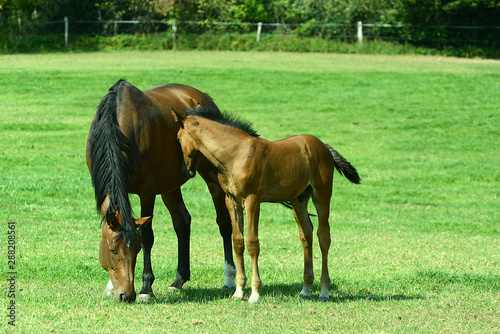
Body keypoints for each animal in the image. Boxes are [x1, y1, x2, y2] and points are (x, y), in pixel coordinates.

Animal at [86, 80, 236, 302]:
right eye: (112, 250)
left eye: (137, 249)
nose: (126, 295)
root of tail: (202, 98)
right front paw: (110, 285)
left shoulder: (147, 192)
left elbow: (148, 235)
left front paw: (146, 288)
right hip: (170, 184)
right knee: (182, 222)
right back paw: (179, 280)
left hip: (211, 175)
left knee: (224, 223)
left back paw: (229, 278)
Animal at [172, 107, 360, 302]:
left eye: (177, 138)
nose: (185, 170)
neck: (235, 155)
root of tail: (324, 146)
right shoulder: (231, 200)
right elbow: (238, 241)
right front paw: (238, 291)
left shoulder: (253, 200)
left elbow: (252, 242)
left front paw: (254, 293)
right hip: (299, 199)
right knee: (306, 233)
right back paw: (306, 289)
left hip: (321, 195)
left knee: (323, 236)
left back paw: (324, 291)